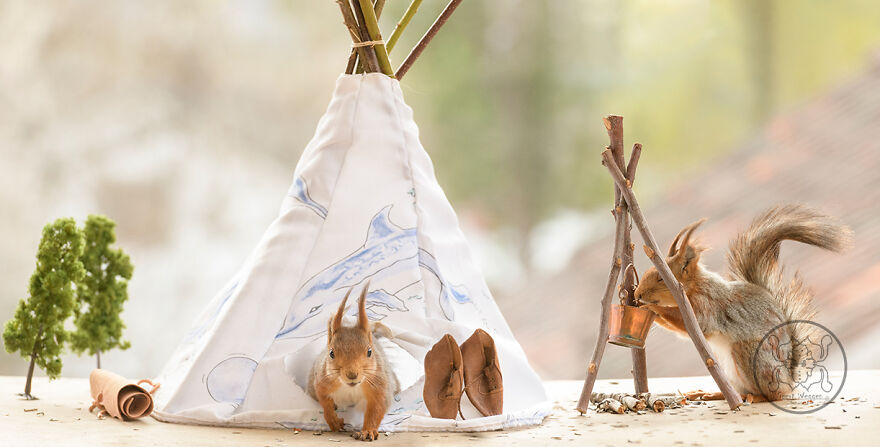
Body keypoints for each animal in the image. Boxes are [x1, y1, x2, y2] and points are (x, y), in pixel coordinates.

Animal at [308, 281, 399, 441]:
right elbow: (325, 402)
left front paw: (368, 431)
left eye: (369, 352)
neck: (350, 388)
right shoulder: (322, 382)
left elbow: (376, 409)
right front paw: (333, 421)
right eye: (331, 353)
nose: (352, 375)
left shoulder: (380, 387)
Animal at [634, 204, 851, 402]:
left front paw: (653, 307)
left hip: (752, 357)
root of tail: (789, 380)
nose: (637, 293)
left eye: (661, 278)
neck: (696, 287)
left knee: (773, 395)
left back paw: (755, 397)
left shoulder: (708, 307)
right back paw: (713, 394)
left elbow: (692, 324)